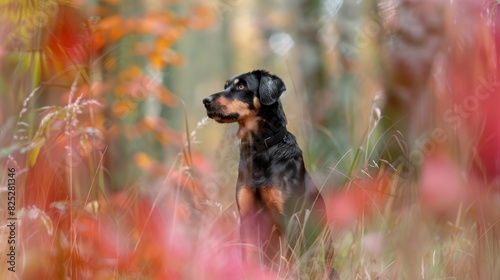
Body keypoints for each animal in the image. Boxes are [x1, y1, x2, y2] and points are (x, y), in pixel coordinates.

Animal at [201, 70, 334, 278]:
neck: (260, 150)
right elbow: (248, 256)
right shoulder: (247, 217)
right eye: (225, 86)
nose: (206, 101)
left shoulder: (288, 218)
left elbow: (287, 261)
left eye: (241, 86)